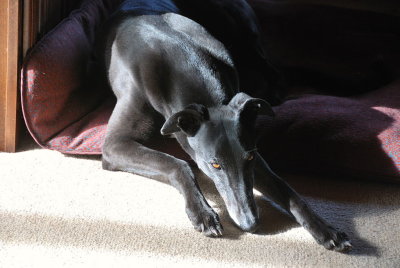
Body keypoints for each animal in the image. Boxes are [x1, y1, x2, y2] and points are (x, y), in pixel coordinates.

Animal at [101, 0, 352, 251]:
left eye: (249, 157)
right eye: (215, 165)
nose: (250, 224)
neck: (178, 55)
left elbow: (285, 188)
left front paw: (326, 228)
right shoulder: (114, 145)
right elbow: (178, 163)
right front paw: (203, 213)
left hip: (243, 34)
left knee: (274, 70)